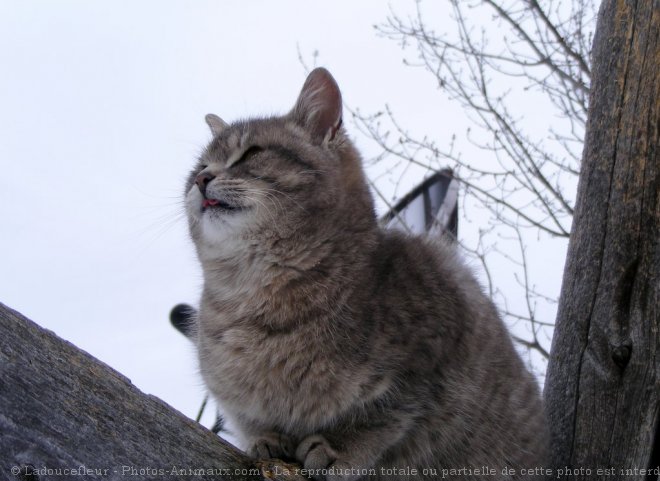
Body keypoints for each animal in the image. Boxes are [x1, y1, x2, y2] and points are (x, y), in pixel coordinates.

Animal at [183, 68, 548, 480]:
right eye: (200, 166)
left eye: (251, 153)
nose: (201, 179)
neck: (253, 293)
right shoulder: (233, 397)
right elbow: (251, 419)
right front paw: (267, 438)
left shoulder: (423, 370)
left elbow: (379, 419)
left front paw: (336, 448)